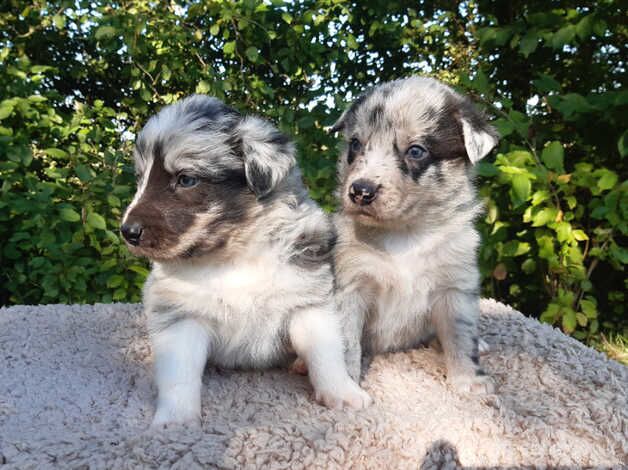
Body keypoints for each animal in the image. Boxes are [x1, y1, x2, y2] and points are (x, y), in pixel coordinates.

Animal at [120, 93, 370, 428]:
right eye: (141, 178)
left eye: (186, 179)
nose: (127, 232)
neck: (234, 253)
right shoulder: (181, 317)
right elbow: (179, 375)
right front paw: (176, 422)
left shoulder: (308, 303)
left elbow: (326, 354)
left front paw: (342, 394)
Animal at [332, 76, 498, 392]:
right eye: (356, 144)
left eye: (416, 150)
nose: (360, 191)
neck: (405, 233)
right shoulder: (351, 285)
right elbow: (346, 344)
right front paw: (345, 388)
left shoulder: (455, 287)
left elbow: (461, 337)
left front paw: (469, 382)